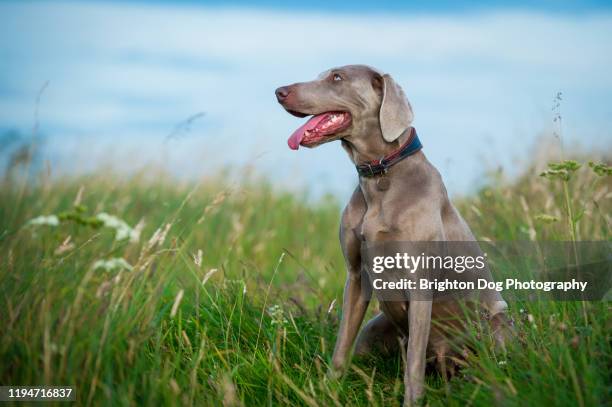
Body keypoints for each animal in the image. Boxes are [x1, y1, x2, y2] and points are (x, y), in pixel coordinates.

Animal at [274, 64, 510, 404]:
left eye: (336, 77)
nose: (279, 91)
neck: (380, 175)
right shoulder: (356, 276)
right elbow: (341, 345)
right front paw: (328, 389)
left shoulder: (419, 282)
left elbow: (413, 361)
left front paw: (412, 401)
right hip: (377, 327)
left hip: (498, 320)